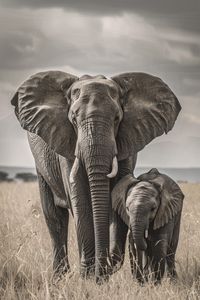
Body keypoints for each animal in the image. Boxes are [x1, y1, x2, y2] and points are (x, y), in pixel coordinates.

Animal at [10, 69, 181, 282]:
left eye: (117, 119)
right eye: (73, 120)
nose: (101, 273)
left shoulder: (128, 140)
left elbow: (118, 191)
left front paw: (102, 272)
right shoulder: (66, 142)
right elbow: (80, 198)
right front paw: (88, 277)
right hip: (41, 165)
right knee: (54, 218)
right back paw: (60, 278)